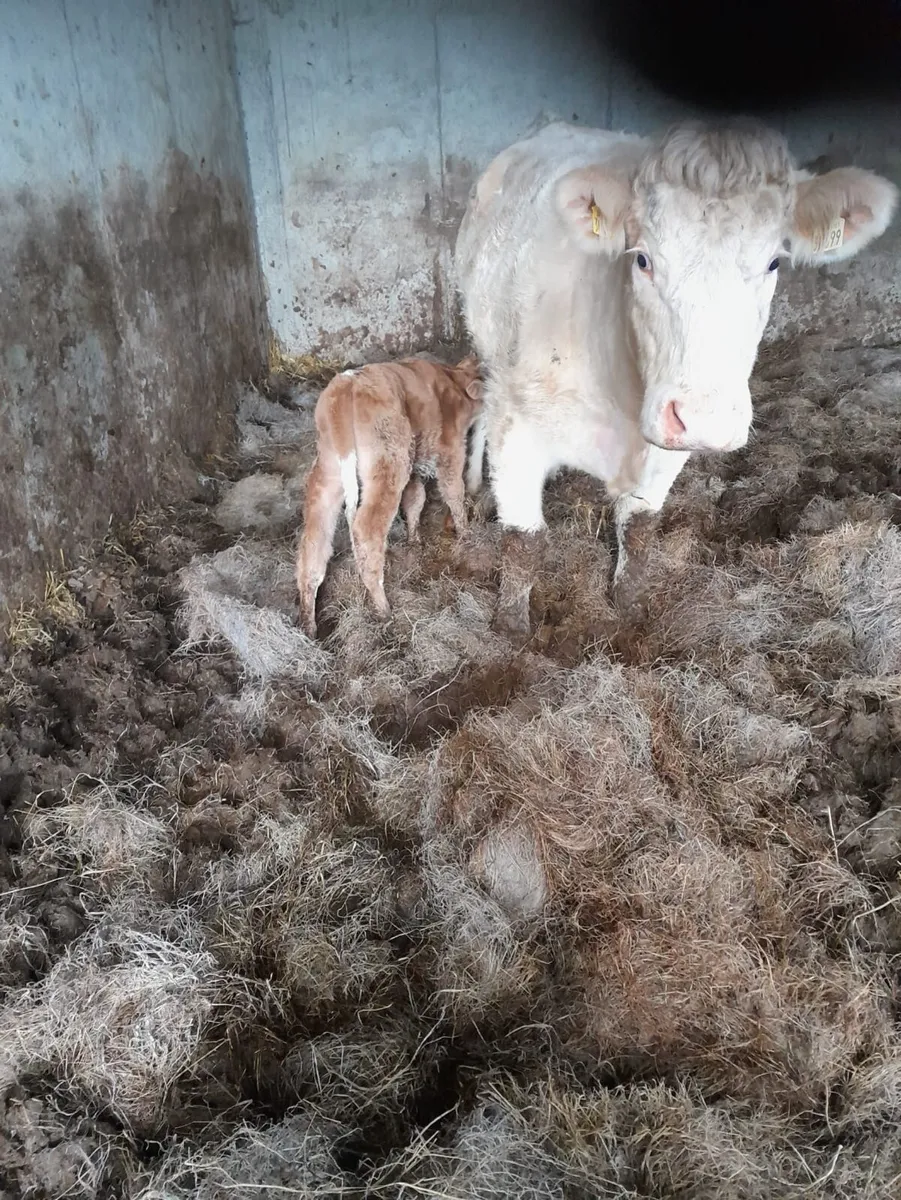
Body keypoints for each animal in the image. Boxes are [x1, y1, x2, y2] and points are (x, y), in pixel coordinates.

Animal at [296, 354, 483, 638]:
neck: (453, 380)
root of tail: (346, 383)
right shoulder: (450, 452)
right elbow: (453, 491)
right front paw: (465, 532)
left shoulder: (415, 467)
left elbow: (415, 500)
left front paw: (414, 539)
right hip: (388, 464)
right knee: (366, 529)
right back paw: (383, 608)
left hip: (328, 474)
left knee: (313, 543)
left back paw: (309, 626)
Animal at [455, 120, 898, 633]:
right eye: (643, 259)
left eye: (774, 262)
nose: (705, 419)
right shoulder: (518, 428)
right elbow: (523, 541)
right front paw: (513, 632)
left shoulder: (665, 448)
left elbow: (639, 528)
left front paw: (629, 611)